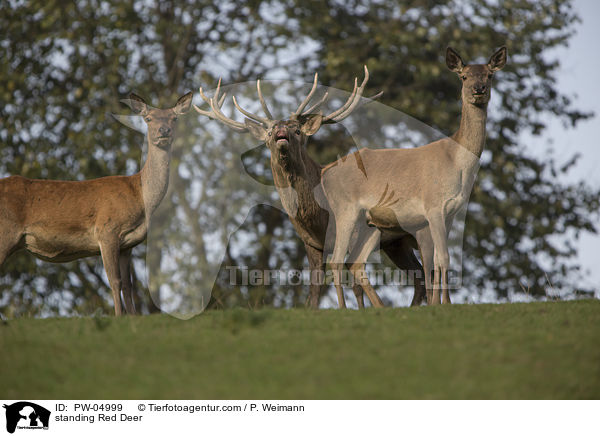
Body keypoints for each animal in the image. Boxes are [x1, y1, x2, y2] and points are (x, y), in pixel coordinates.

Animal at [0, 93, 192, 316]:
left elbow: (128, 285)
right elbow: (115, 281)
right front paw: (118, 316)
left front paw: (134, 317)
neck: (140, 196)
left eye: (174, 118)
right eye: (149, 118)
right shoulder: (107, 230)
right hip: (5, 232)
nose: (164, 131)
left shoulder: (128, 244)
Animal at [193, 70, 426, 308]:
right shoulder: (311, 244)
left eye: (297, 130)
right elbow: (313, 291)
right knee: (420, 277)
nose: (280, 129)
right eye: (268, 133)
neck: (319, 217)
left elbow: (355, 283)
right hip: (397, 243)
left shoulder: (356, 232)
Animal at [318, 46, 506, 306]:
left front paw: (443, 303)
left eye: (489, 75)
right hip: (345, 209)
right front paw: (442, 305)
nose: (479, 89)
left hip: (371, 223)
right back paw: (345, 308)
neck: (458, 165)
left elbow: (438, 261)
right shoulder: (433, 206)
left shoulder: (451, 212)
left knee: (355, 261)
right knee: (336, 260)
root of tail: (326, 171)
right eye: (464, 76)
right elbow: (442, 258)